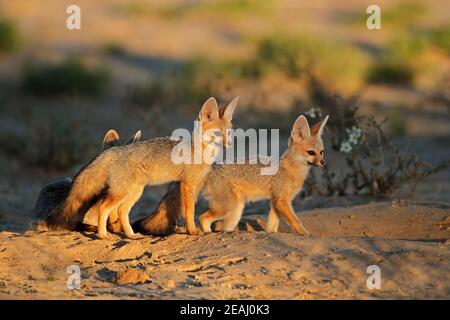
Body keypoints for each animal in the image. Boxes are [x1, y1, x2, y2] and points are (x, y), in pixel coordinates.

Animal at [44, 96, 239, 239]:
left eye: (229, 133)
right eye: (217, 134)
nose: (229, 144)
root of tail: (116, 150)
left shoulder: (196, 185)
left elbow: (193, 211)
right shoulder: (187, 185)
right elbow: (189, 212)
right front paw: (192, 231)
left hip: (135, 192)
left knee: (121, 211)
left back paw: (131, 235)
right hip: (122, 192)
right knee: (104, 208)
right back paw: (103, 235)